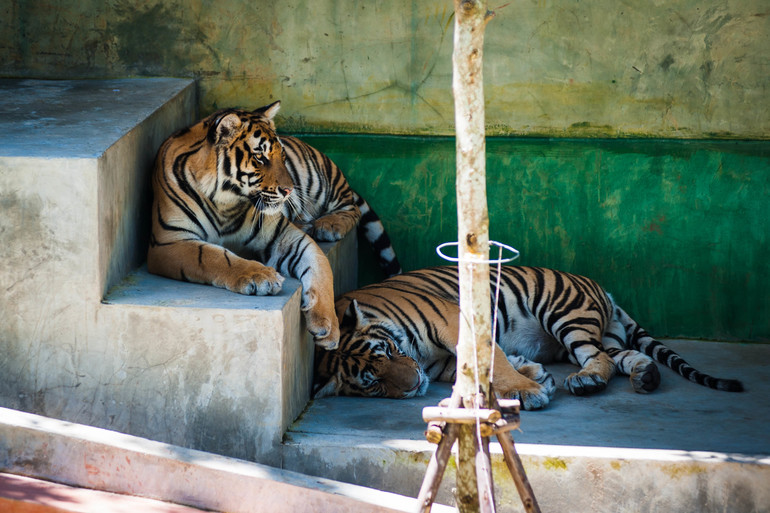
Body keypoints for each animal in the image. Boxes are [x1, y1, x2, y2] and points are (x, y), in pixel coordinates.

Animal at [147, 101, 401, 349]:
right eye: (260, 157)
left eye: (283, 157)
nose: (289, 190)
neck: (224, 202)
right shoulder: (168, 242)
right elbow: (214, 256)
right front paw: (261, 277)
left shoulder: (285, 235)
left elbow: (320, 267)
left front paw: (327, 325)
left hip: (321, 183)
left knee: (351, 206)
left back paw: (328, 225)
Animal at [313, 265, 744, 409]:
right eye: (373, 383)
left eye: (386, 351)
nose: (413, 384)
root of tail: (603, 291)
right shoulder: (440, 361)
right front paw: (534, 375)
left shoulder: (456, 321)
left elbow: (494, 360)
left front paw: (529, 389)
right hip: (597, 335)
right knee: (621, 356)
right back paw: (645, 377)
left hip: (564, 313)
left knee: (601, 359)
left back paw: (587, 381)